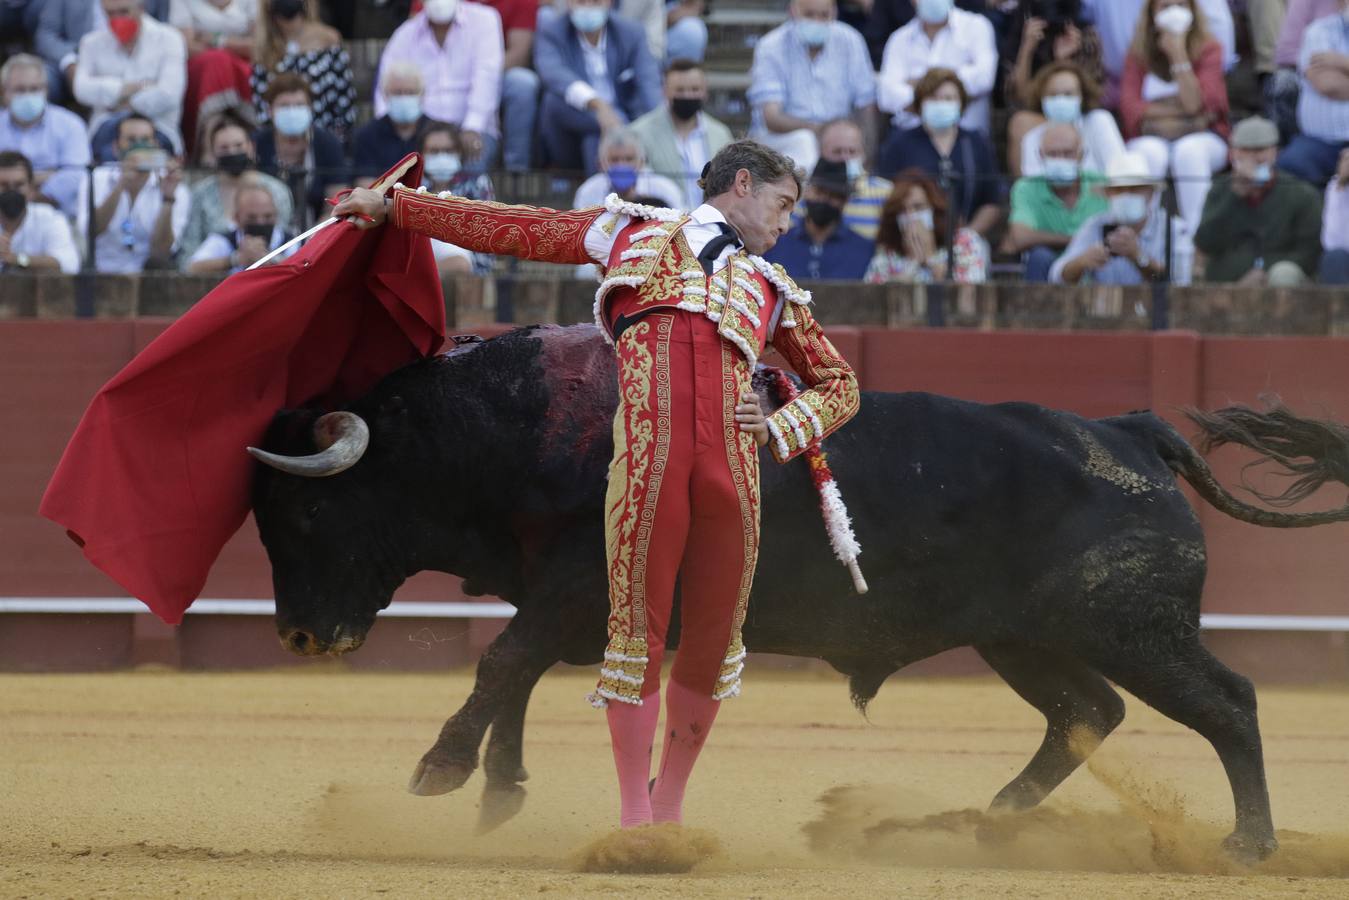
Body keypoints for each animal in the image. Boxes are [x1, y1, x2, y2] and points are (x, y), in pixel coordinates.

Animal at [250, 323, 1349, 858]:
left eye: (305, 511)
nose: (299, 638)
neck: (516, 428)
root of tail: (1130, 430)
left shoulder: (571, 594)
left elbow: (504, 661)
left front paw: (443, 771)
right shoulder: (582, 607)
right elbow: (514, 674)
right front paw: (496, 793)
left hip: (1132, 626)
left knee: (1226, 703)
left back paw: (1247, 844)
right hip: (1024, 639)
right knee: (1087, 712)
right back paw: (985, 821)